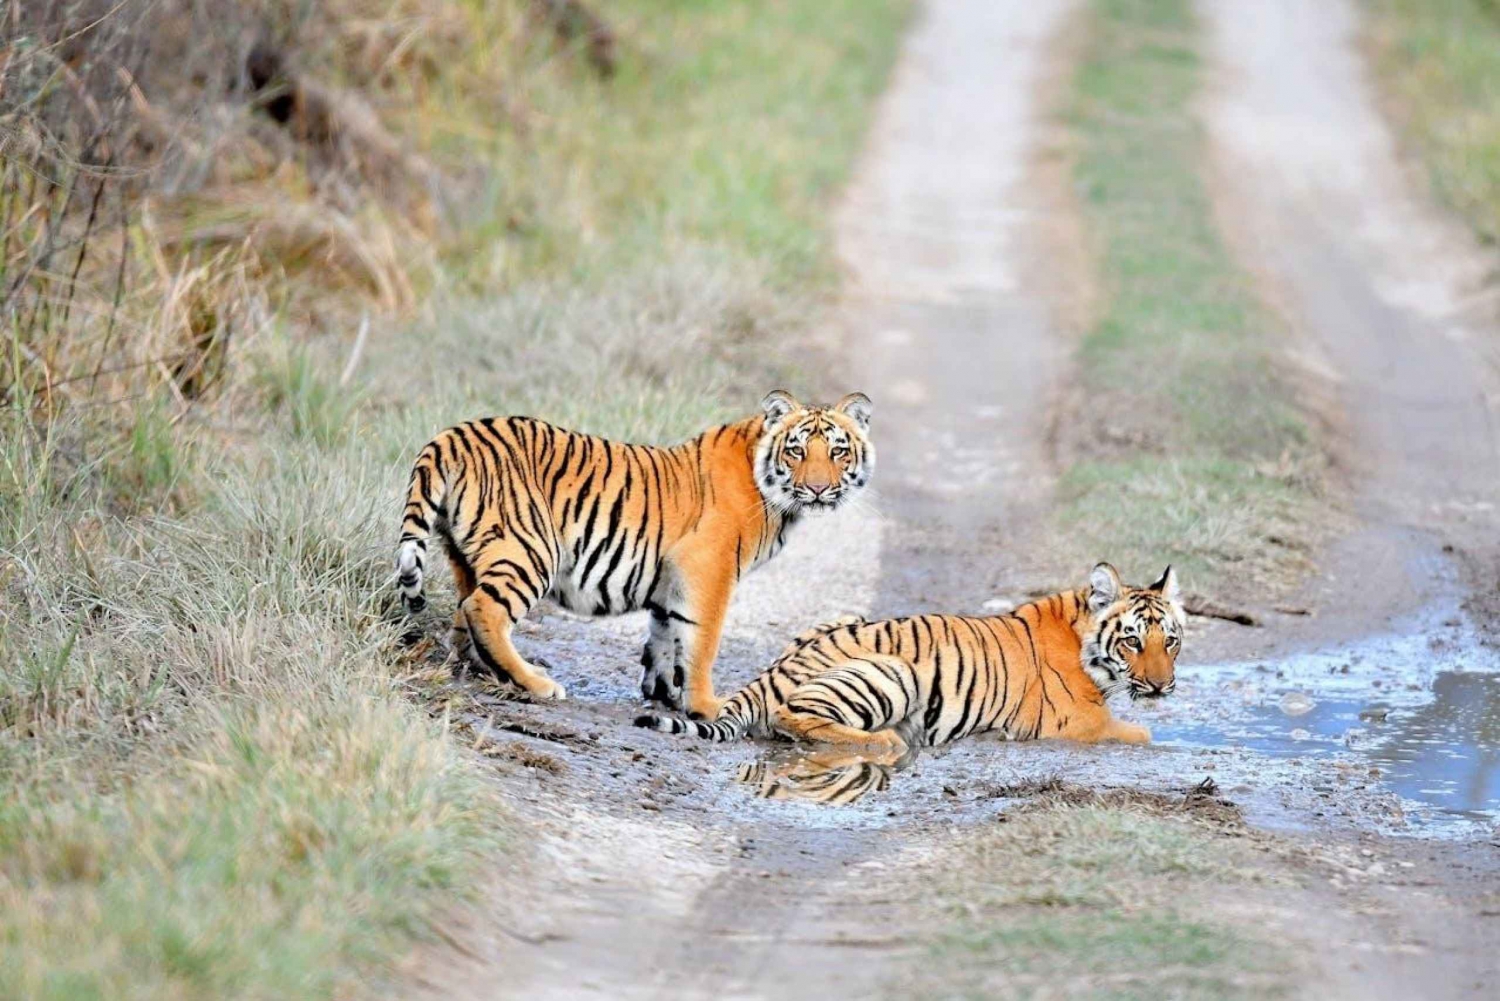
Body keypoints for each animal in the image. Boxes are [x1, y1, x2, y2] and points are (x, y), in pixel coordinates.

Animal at [393, 387, 876, 717]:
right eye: (796, 450)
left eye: (838, 450)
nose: (818, 488)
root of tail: (452, 434)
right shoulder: (707, 569)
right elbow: (703, 641)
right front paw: (706, 705)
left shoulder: (671, 578)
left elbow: (665, 635)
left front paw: (664, 693)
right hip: (531, 549)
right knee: (484, 610)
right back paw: (535, 682)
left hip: (467, 554)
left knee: (465, 611)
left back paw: (479, 668)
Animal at [633, 564, 1182, 750]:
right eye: (1132, 641)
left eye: (1170, 641)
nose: (1161, 686)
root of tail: (765, 677)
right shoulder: (1080, 722)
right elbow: (1140, 733)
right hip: (894, 670)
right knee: (794, 717)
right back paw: (887, 742)